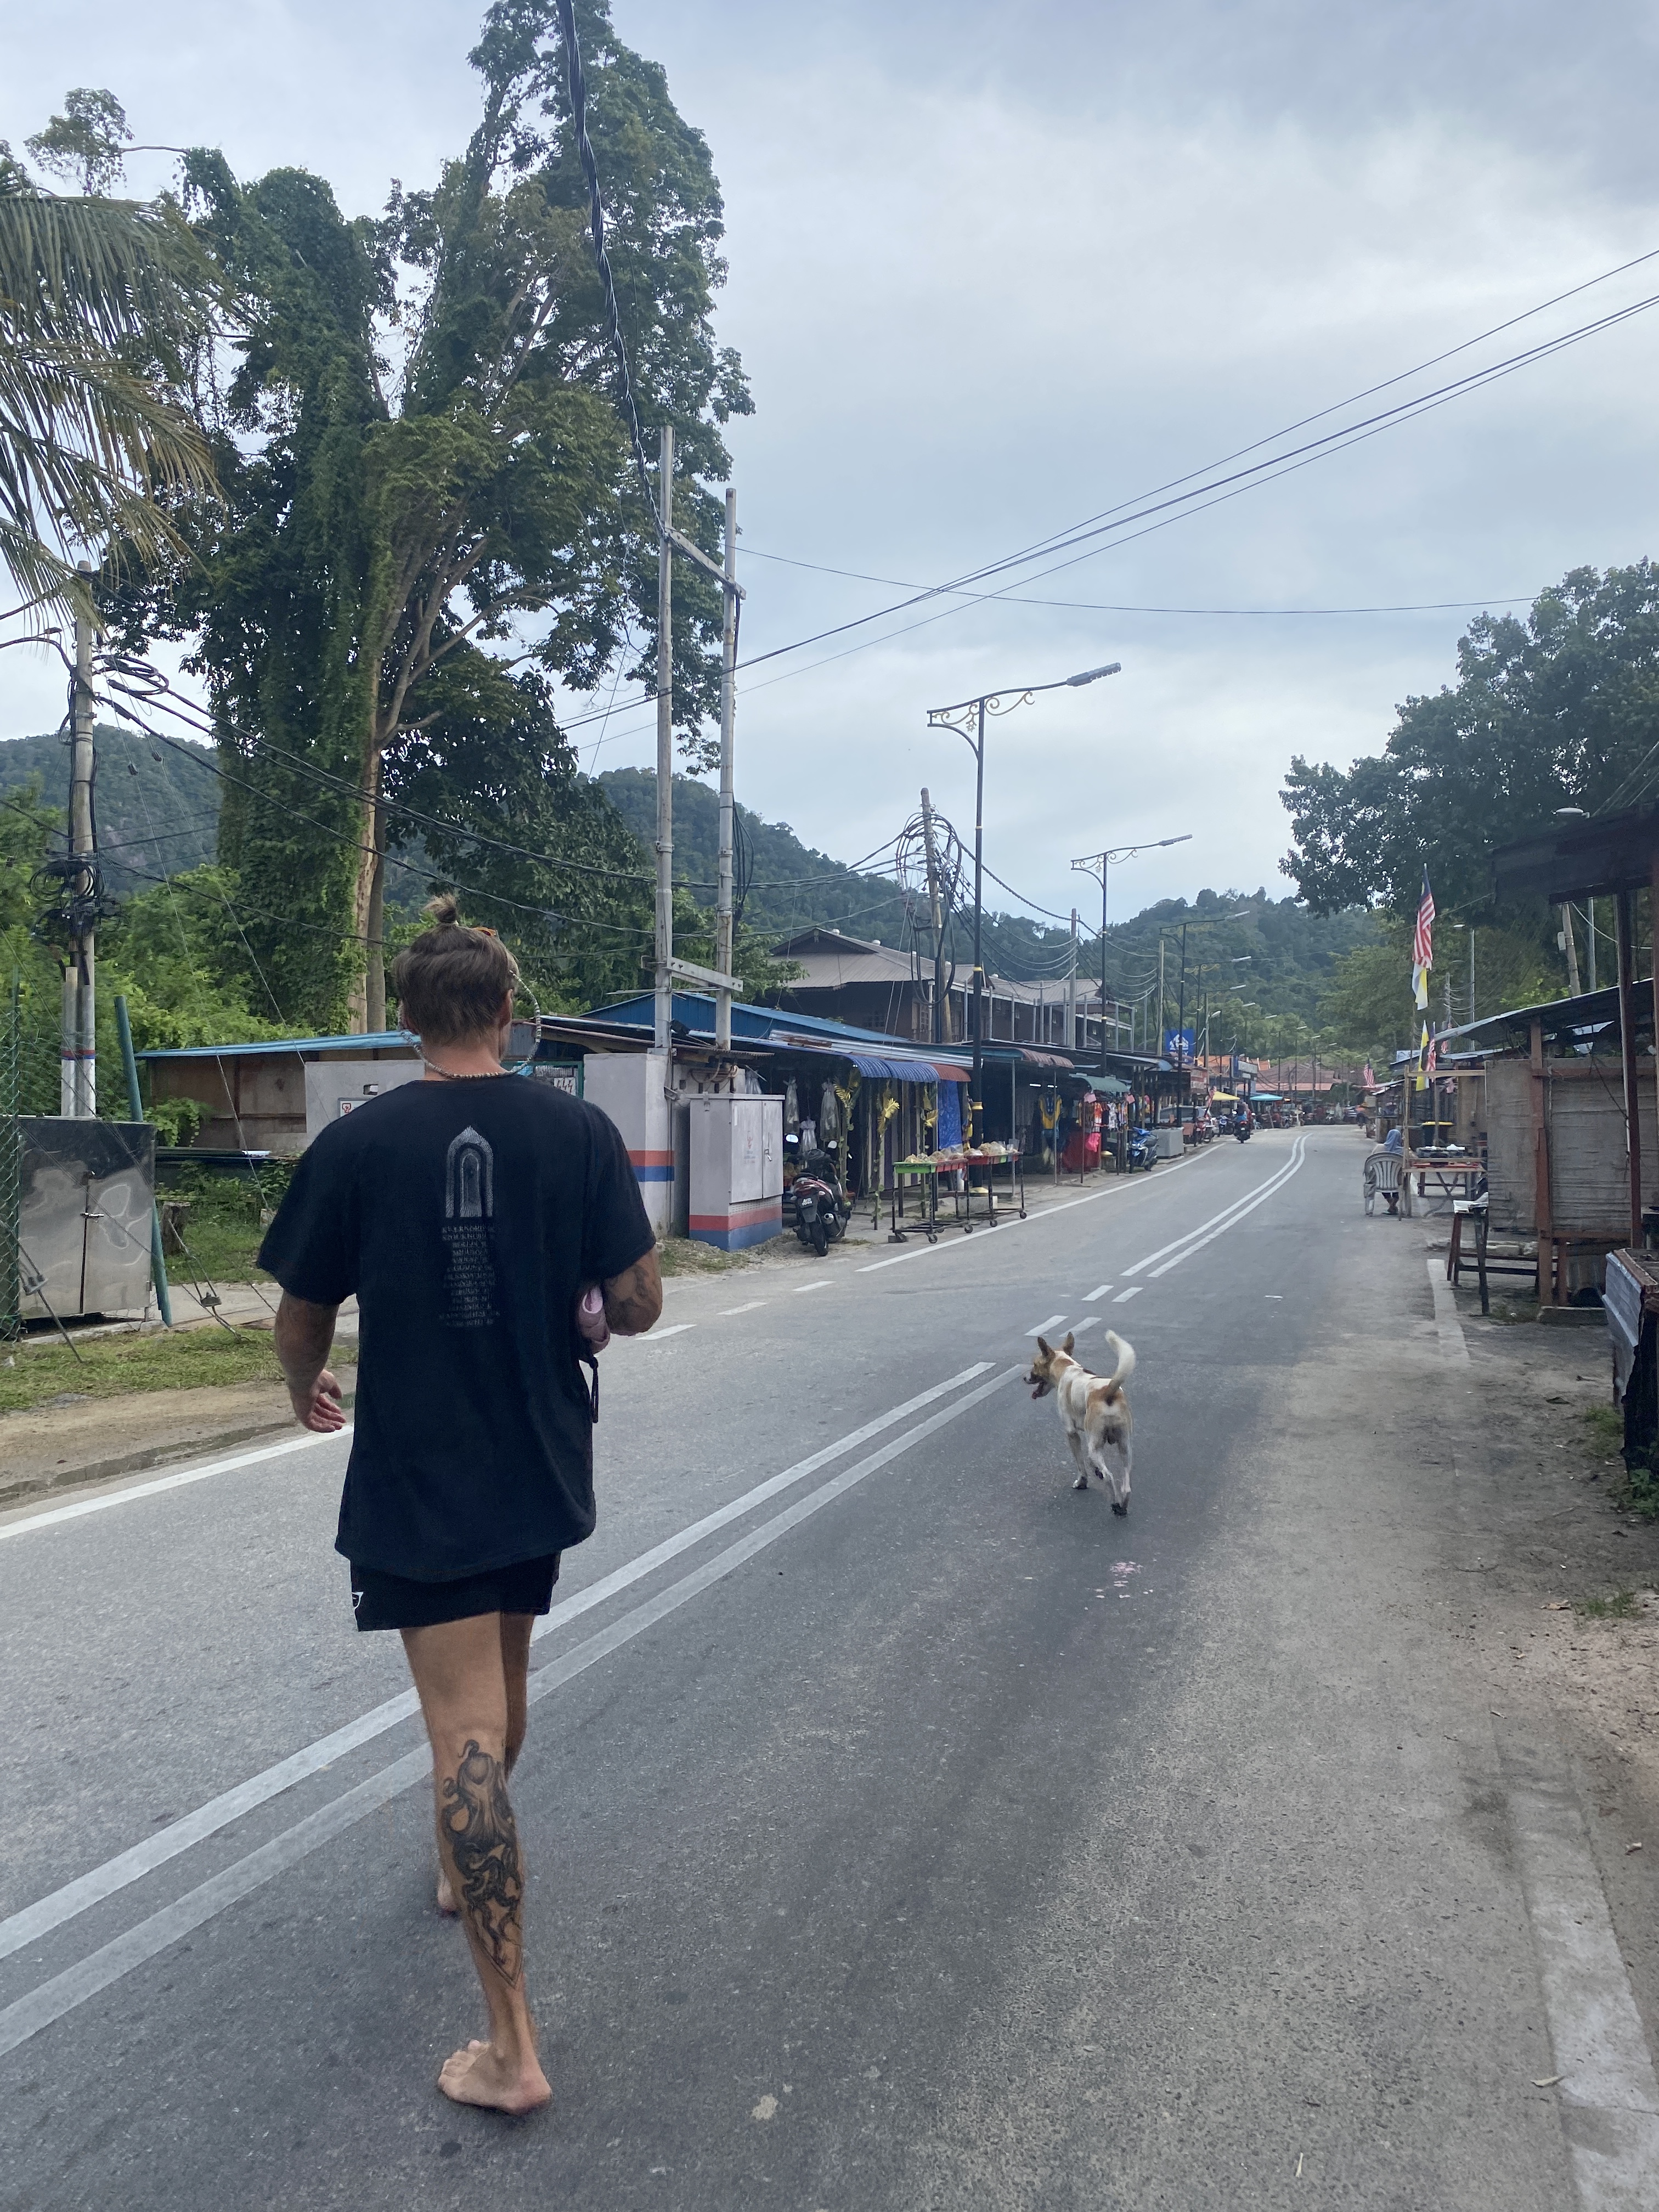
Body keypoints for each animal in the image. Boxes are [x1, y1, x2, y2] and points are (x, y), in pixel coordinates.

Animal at [1025, 1330, 1136, 1513]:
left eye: (1034, 1364)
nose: (1024, 1378)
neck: (1066, 1367)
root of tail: (1109, 1390)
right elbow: (1090, 1463)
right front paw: (1095, 1470)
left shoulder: (1072, 1433)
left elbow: (1081, 1463)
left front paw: (1083, 1481)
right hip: (1125, 1446)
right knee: (1126, 1485)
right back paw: (1122, 1506)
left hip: (1096, 1446)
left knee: (1109, 1477)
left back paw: (1115, 1503)